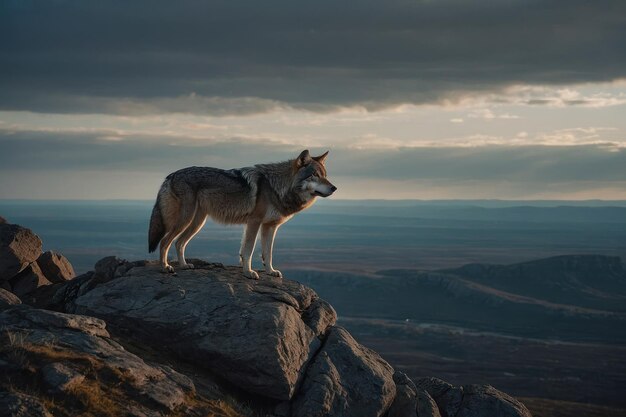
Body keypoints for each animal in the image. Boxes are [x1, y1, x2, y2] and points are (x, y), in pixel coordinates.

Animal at [147, 150, 336, 280]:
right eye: (314, 175)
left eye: (325, 176)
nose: (334, 188)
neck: (277, 187)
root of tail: (170, 175)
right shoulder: (254, 222)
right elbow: (249, 250)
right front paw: (248, 272)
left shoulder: (270, 226)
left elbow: (267, 252)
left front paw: (270, 271)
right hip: (185, 220)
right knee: (165, 241)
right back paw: (165, 267)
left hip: (197, 223)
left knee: (179, 242)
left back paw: (184, 265)